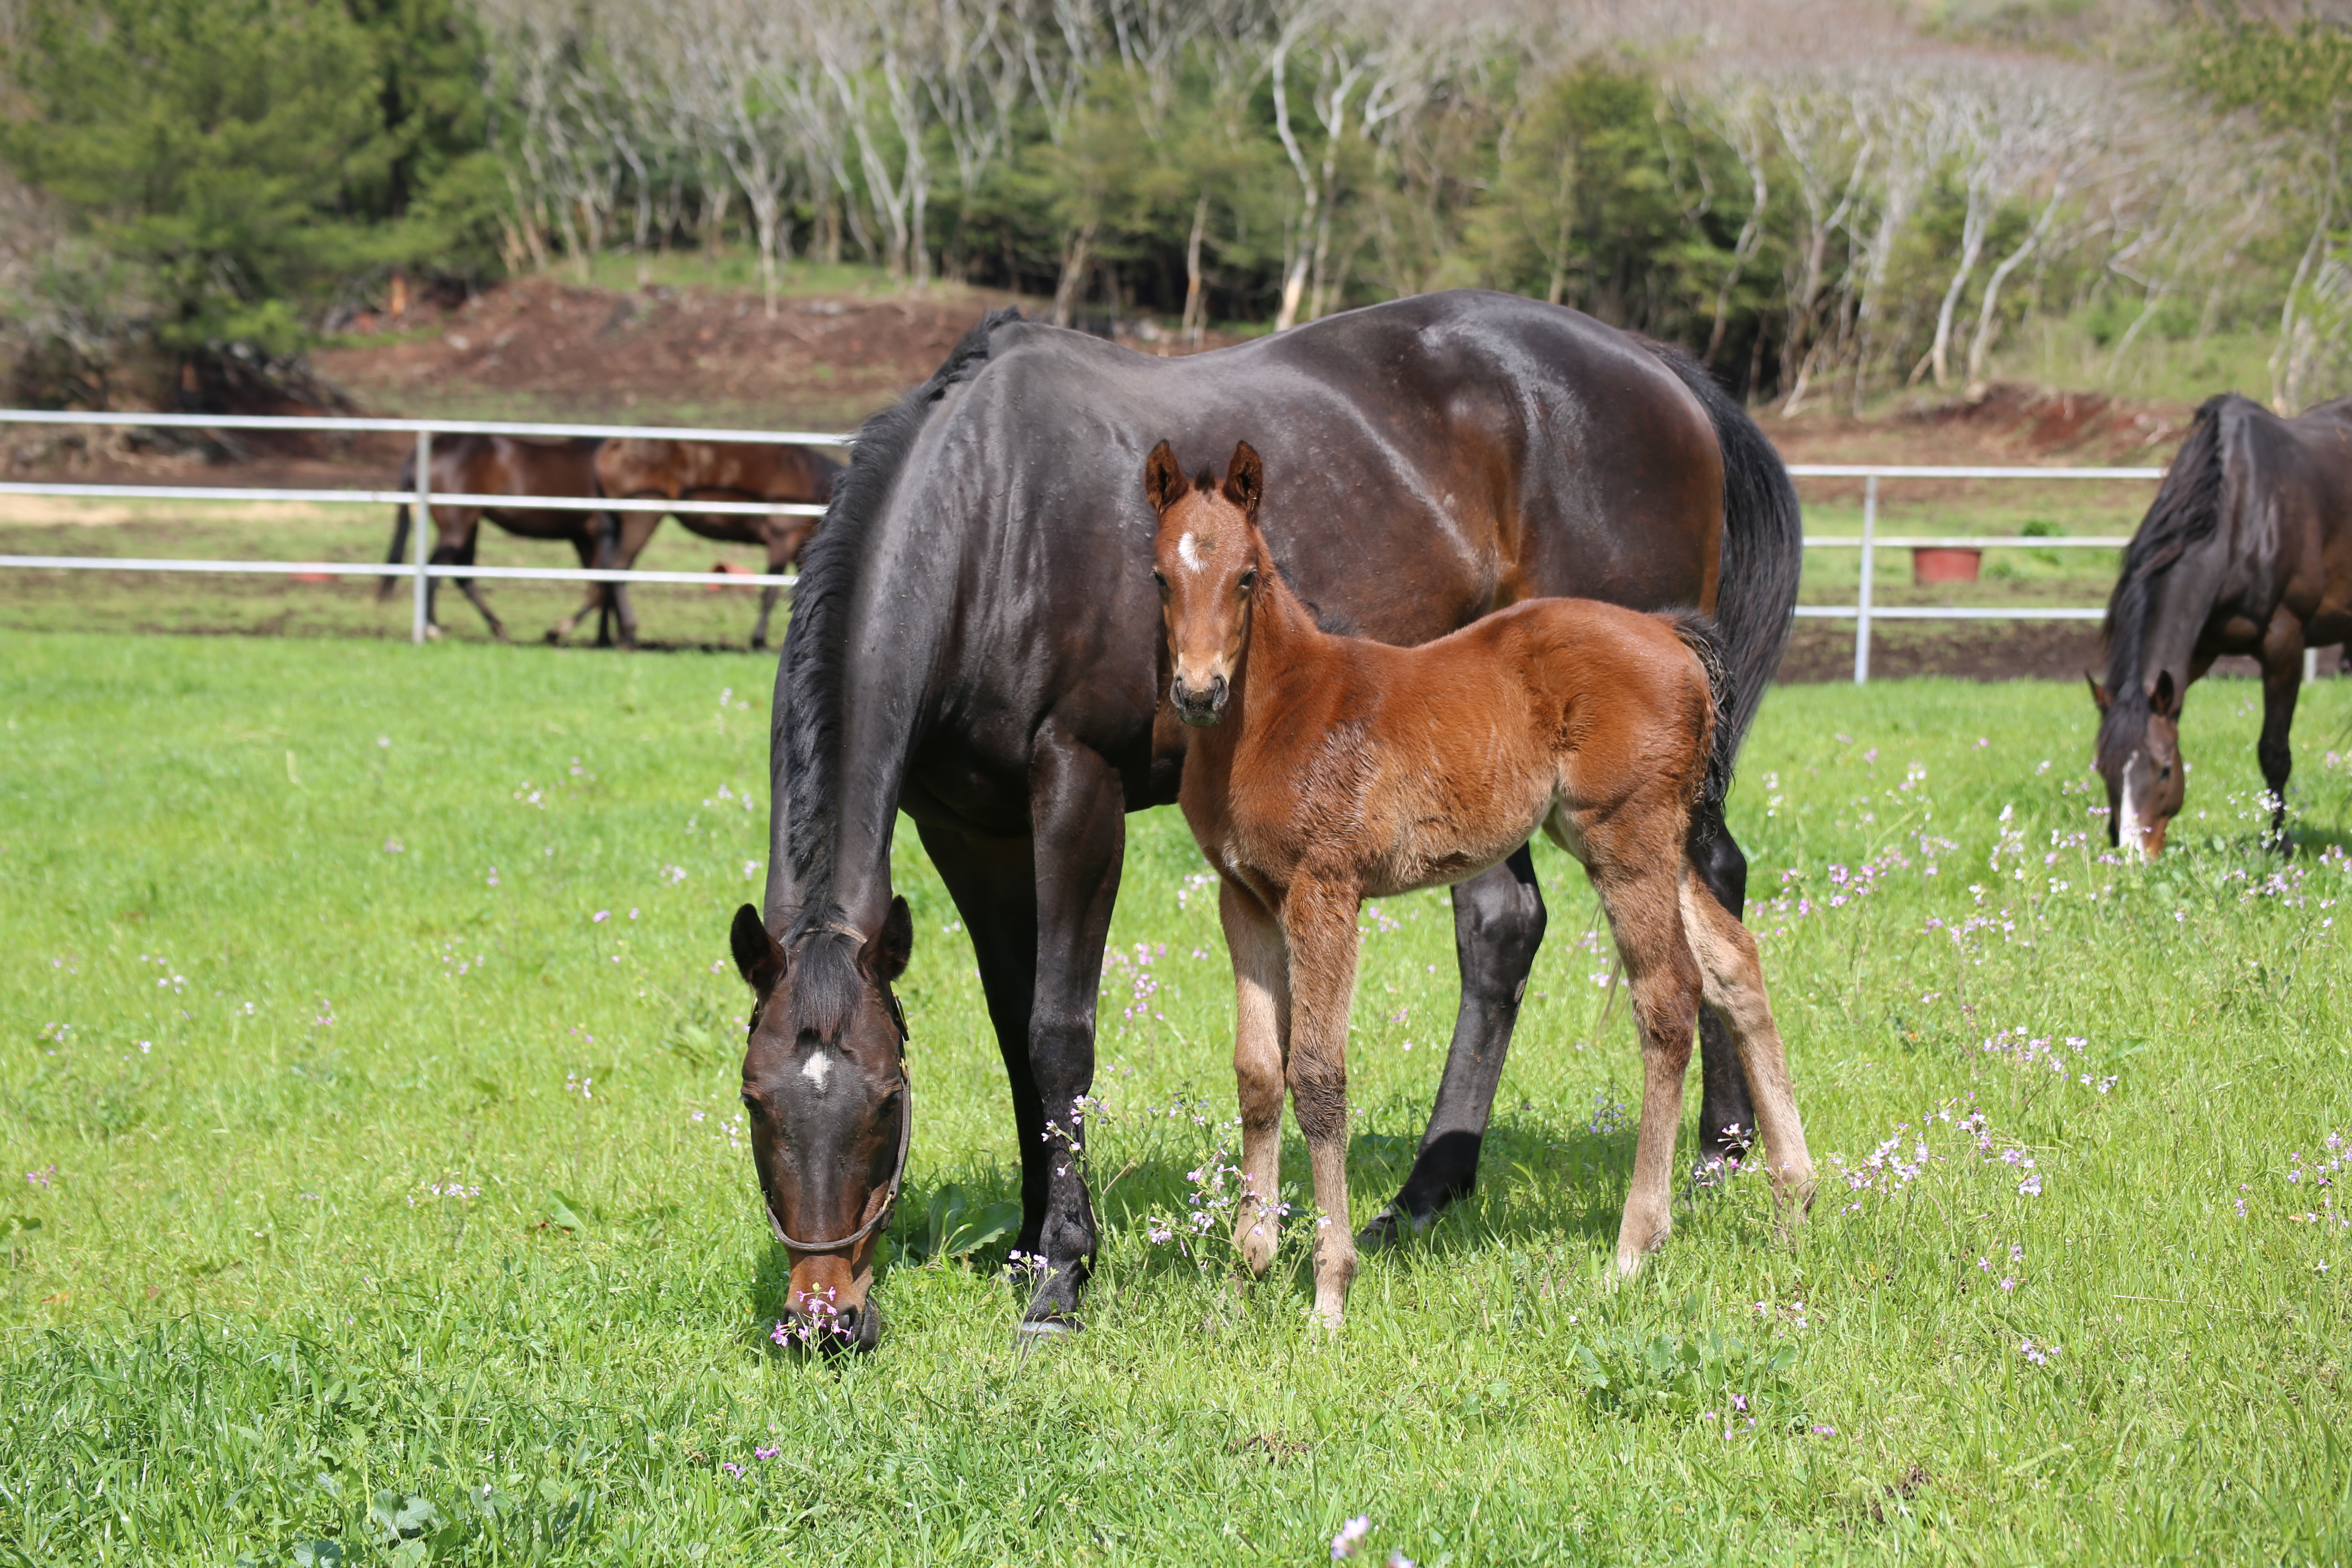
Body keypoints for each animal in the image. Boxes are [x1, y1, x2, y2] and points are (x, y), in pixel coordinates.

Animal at [379, 435, 639, 644]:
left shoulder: (583, 538)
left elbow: (601, 585)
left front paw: (606, 637)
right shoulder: (597, 534)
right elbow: (602, 586)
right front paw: (565, 632)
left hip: (470, 525)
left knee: (463, 577)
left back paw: (498, 628)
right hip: (457, 526)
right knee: (435, 571)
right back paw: (433, 628)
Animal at [592, 439, 842, 648]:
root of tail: (613, 447)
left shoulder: (802, 547)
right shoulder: (782, 539)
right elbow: (770, 593)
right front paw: (759, 641)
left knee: (608, 572)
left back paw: (608, 636)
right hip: (642, 518)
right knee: (617, 569)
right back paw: (628, 632)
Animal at [1147, 439, 1806, 1326]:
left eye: (1247, 576)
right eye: (1160, 576)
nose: (1198, 691)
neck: (1280, 714)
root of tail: (1669, 633)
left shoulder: (1326, 891)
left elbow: (1317, 1074)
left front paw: (1330, 1289)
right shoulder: (1245, 897)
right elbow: (1258, 1071)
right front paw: (1247, 1264)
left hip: (1625, 837)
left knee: (1669, 996)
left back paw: (1635, 1246)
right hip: (1633, 836)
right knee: (1735, 963)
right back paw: (1793, 1200)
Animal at [2098, 392, 2352, 860]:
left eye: (2164, 770)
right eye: (2104, 768)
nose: (2133, 856)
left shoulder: (2285, 644)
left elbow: (2274, 752)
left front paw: (2279, 843)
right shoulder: (2196, 652)